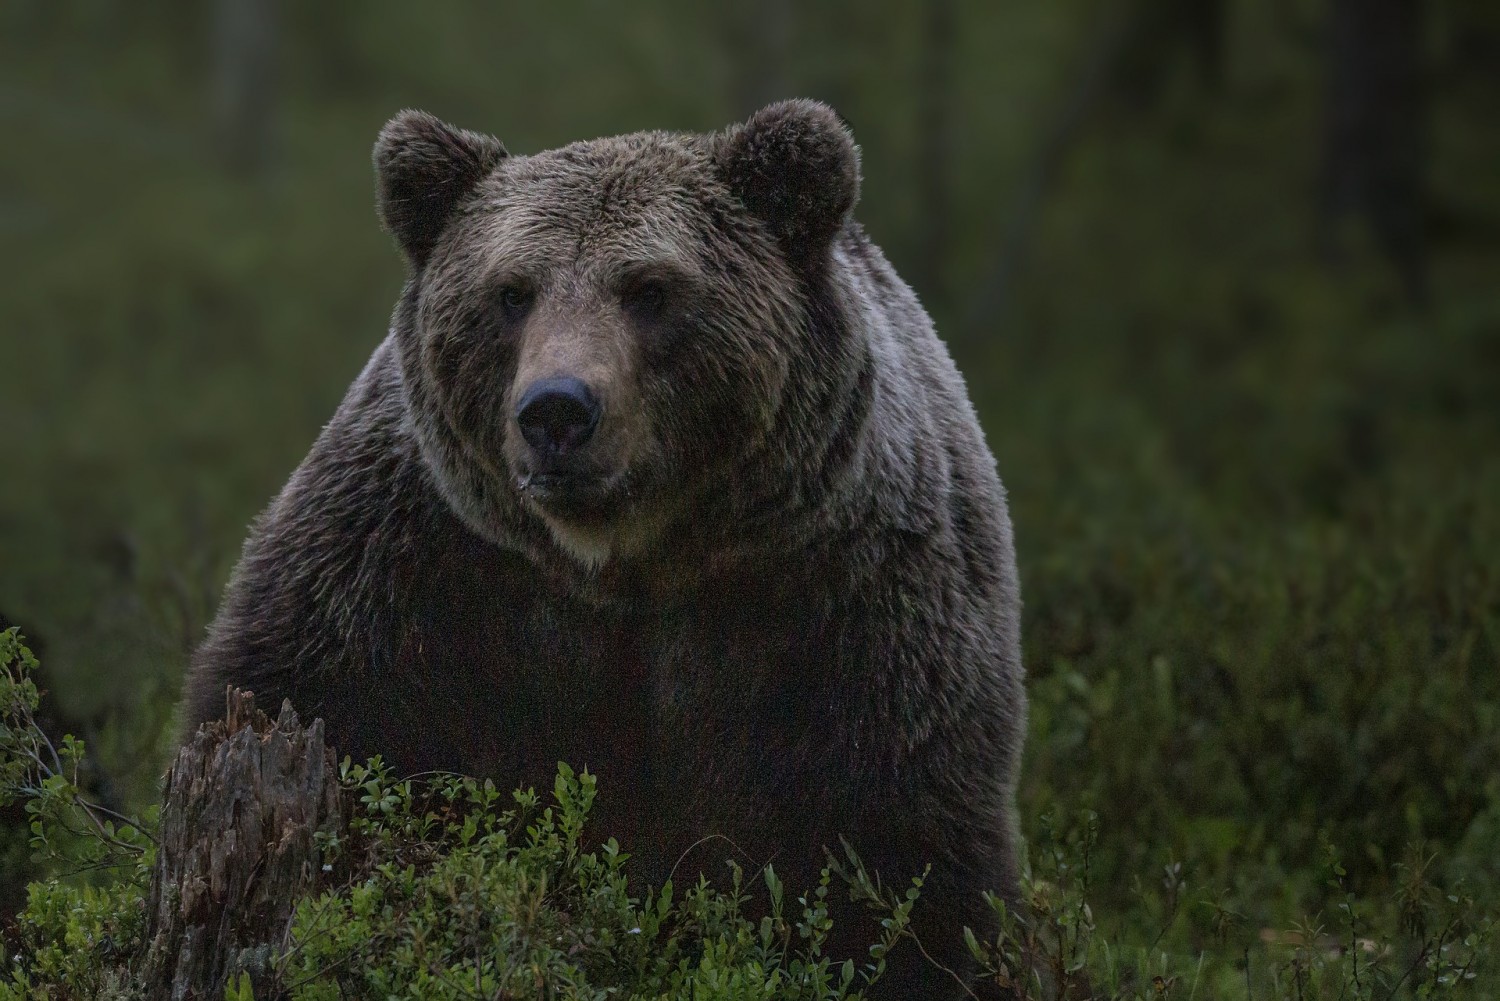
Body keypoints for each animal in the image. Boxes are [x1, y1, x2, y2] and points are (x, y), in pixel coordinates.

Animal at [181, 99, 1026, 996]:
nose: (557, 410)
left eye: (650, 289)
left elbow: (896, 851)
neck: (624, 562)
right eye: (511, 291)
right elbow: (316, 698)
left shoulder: (841, 603)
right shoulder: (415, 569)